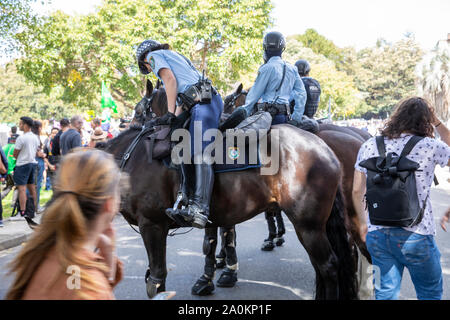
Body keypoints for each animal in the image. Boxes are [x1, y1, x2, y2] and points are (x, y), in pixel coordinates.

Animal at [99, 80, 358, 300]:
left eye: (139, 111)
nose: (131, 123)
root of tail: (324, 148)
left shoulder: (152, 225)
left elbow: (157, 281)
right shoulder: (216, 214)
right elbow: (214, 241)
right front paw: (212, 276)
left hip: (309, 225)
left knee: (329, 266)